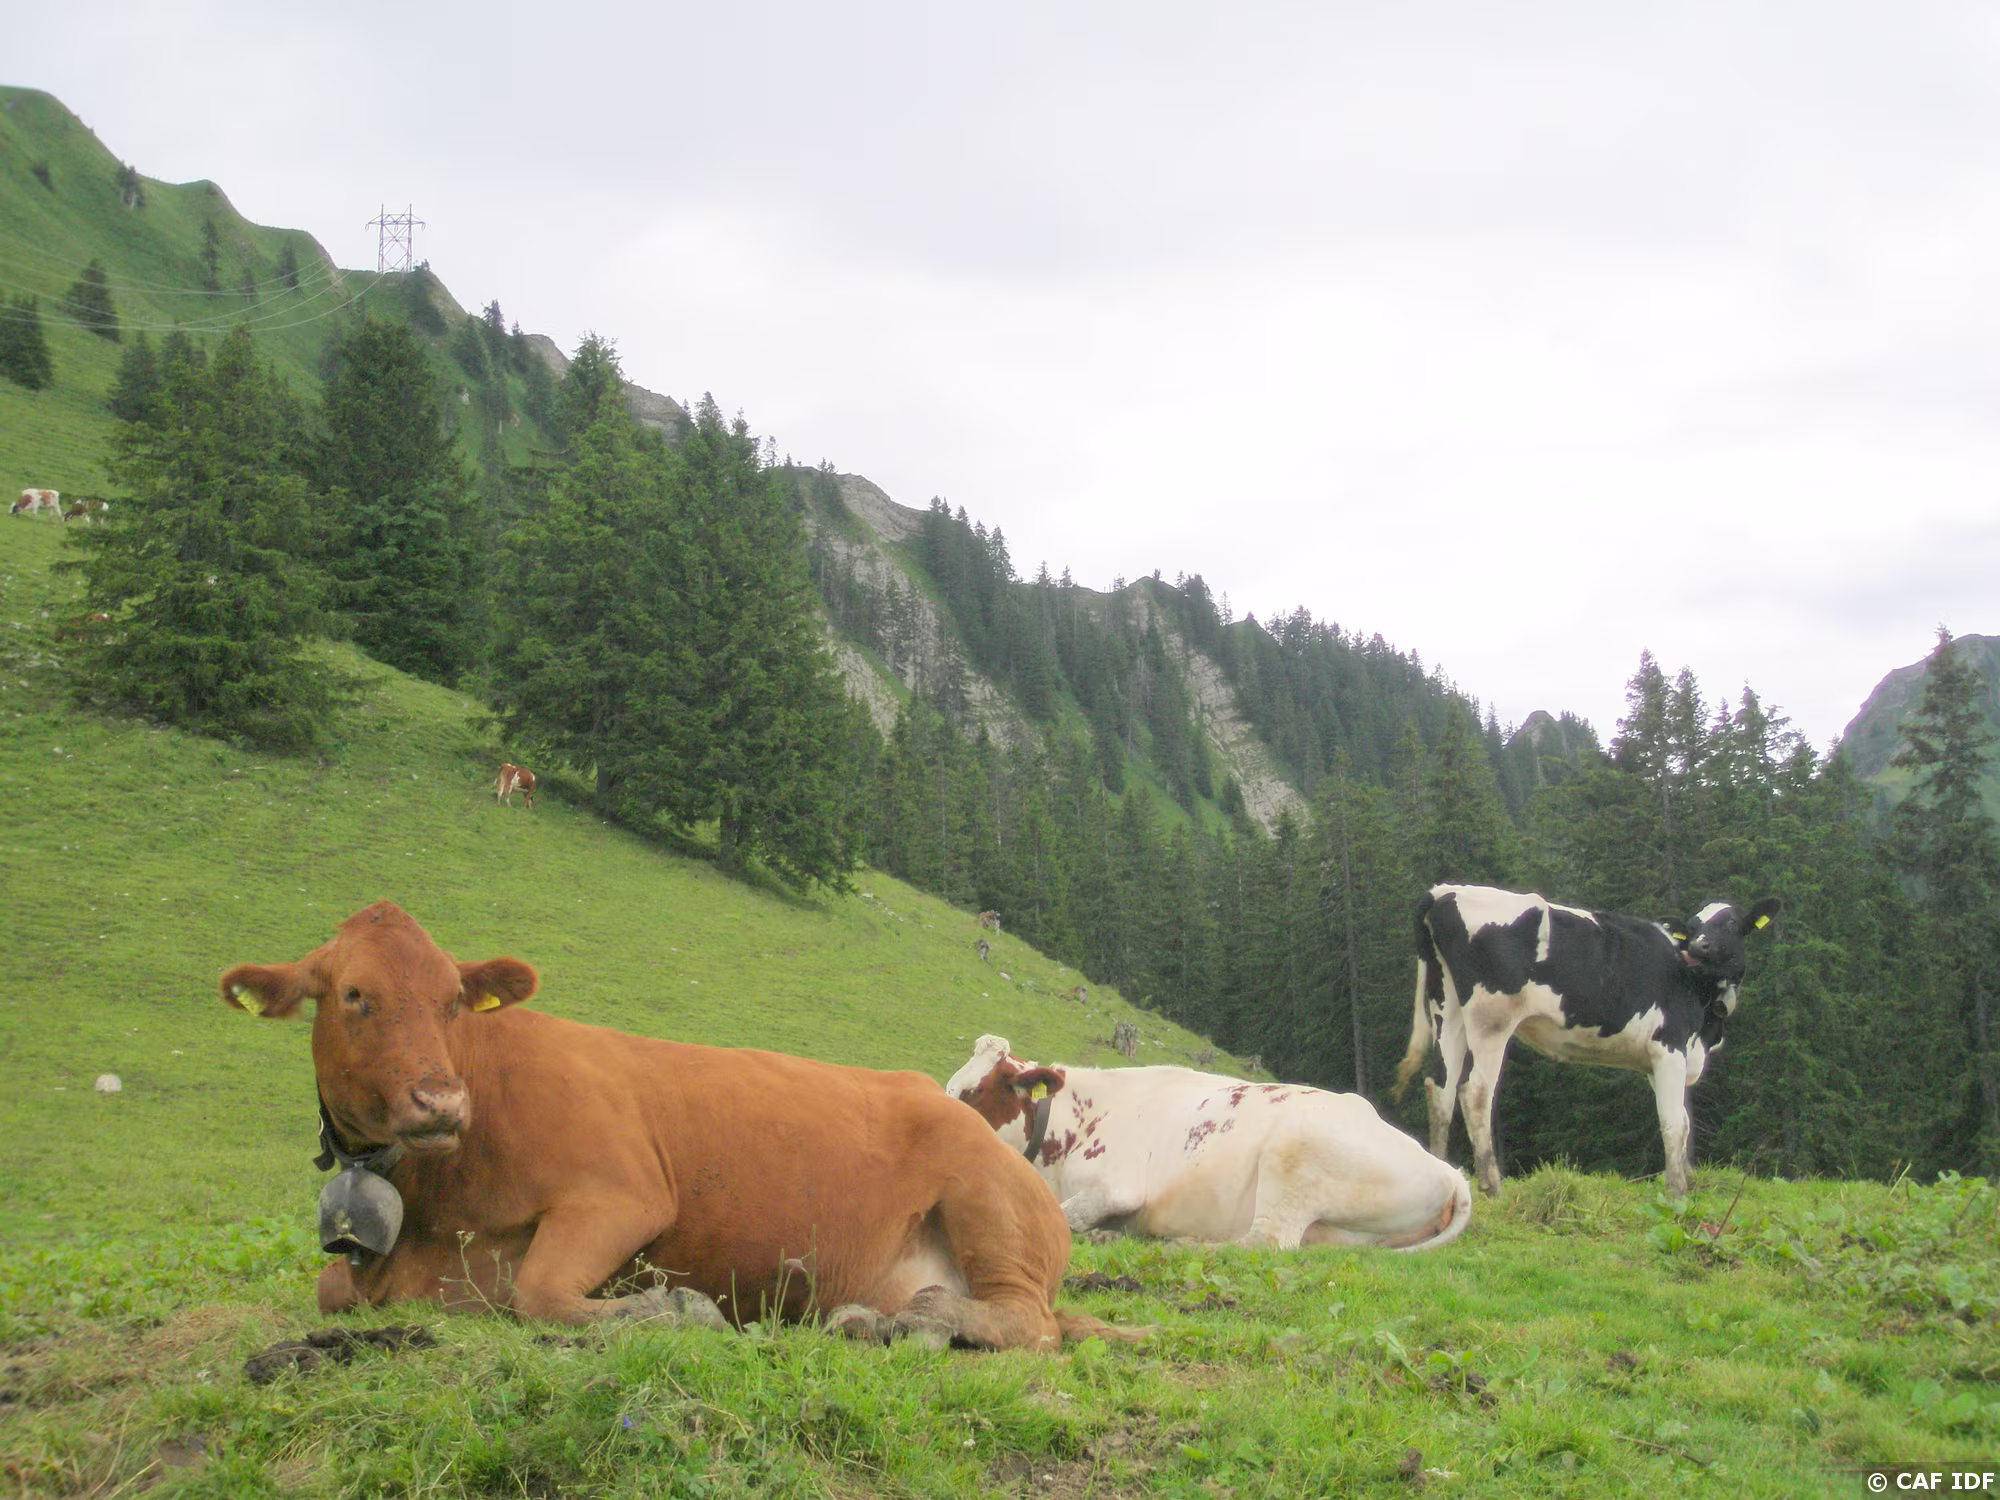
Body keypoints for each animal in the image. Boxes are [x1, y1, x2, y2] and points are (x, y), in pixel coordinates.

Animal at [220, 902, 1138, 1349]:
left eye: (452, 998)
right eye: (354, 995)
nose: (440, 1102)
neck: (441, 1205)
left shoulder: (623, 1194)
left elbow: (536, 1291)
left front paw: (668, 1309)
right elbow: (330, 1287)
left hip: (988, 1204)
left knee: (1031, 1322)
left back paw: (923, 1323)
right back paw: (871, 1319)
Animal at [945, 1035, 1472, 1251]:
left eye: (974, 1094)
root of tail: (1450, 1171)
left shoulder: (1118, 1186)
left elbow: (1063, 1216)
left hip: (1292, 1154)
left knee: (1266, 1241)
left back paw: (1182, 1242)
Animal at [1395, 884, 1781, 1198]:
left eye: (1730, 923)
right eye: (1695, 925)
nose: (1700, 947)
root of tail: (1445, 892)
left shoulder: (1663, 1061)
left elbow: (1682, 1120)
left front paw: (1685, 1179)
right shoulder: (1669, 1046)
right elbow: (1675, 1122)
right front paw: (1677, 1192)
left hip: (1447, 1006)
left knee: (1441, 1088)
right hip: (1491, 1018)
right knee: (1475, 1091)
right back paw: (1493, 1186)